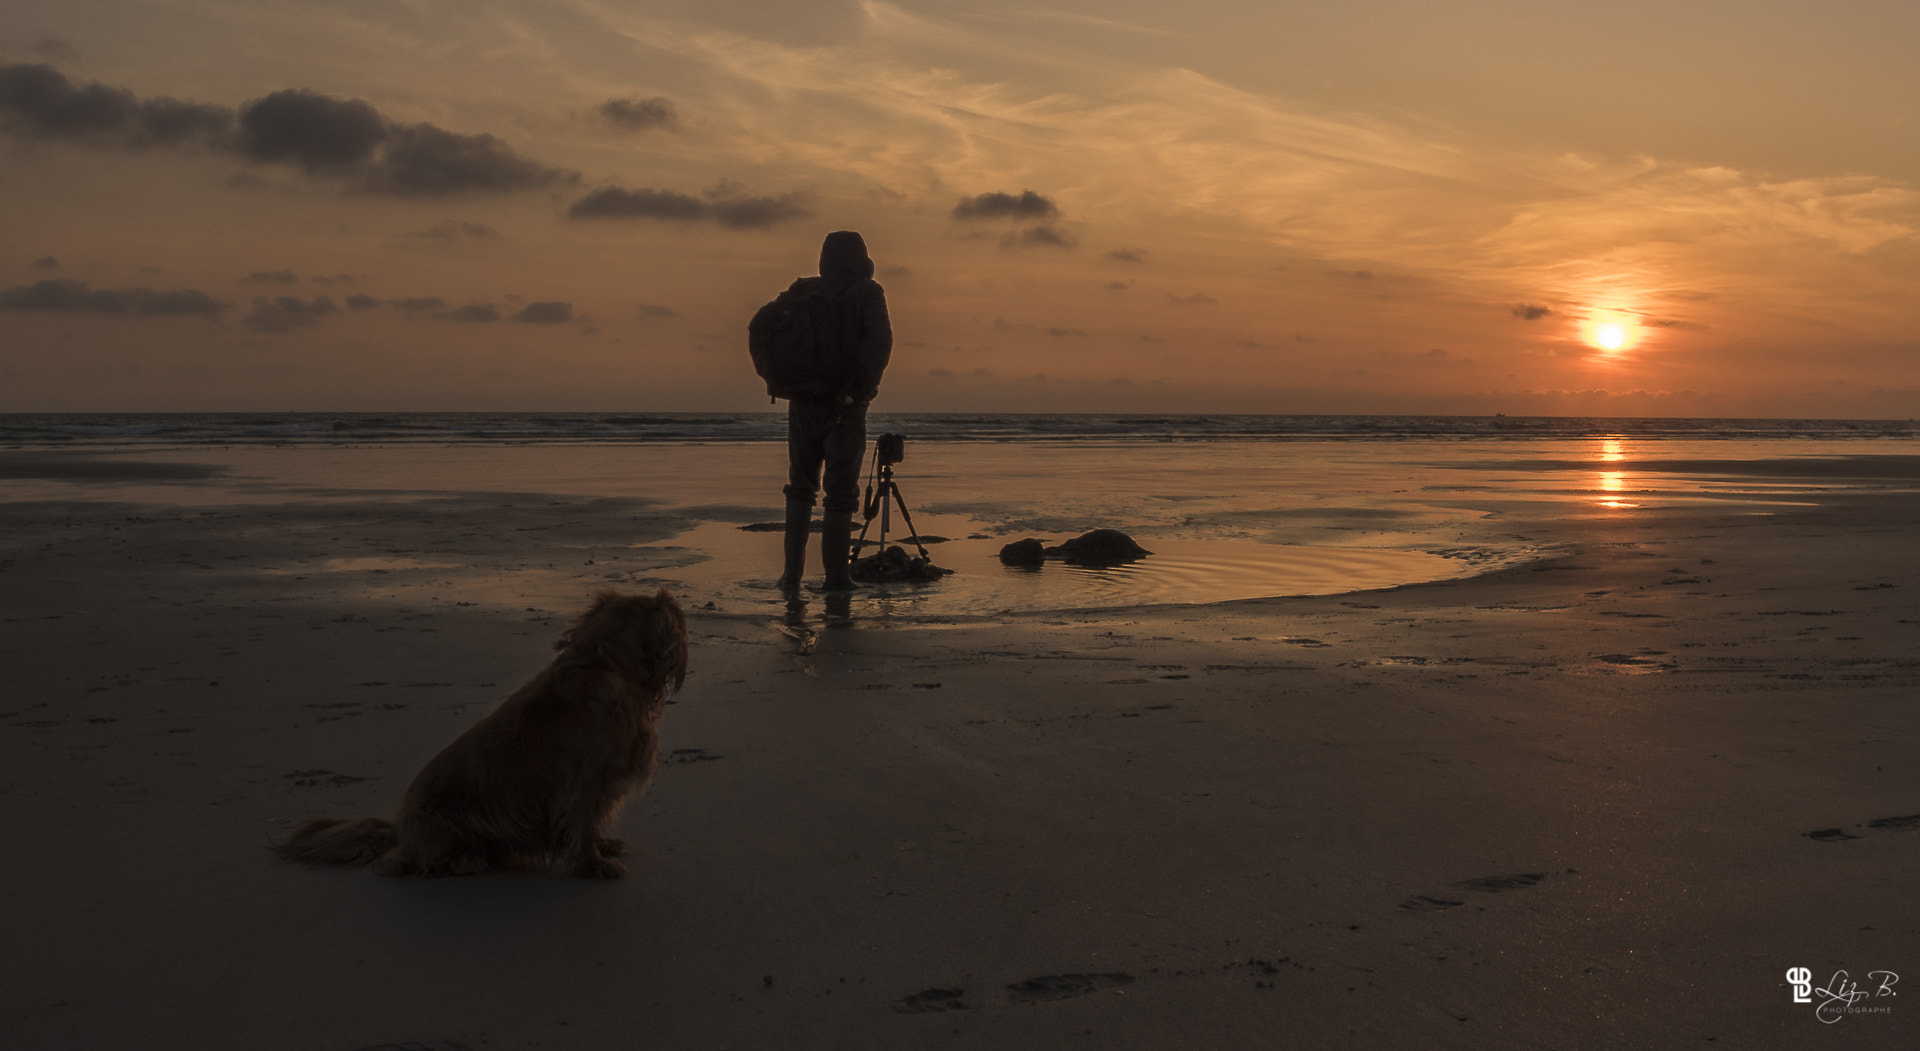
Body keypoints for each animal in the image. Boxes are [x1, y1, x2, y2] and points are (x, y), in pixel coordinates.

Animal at [270, 591, 691, 879]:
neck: (605, 667)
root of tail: (401, 831)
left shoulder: (597, 787)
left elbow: (594, 821)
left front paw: (604, 846)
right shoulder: (582, 784)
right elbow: (583, 824)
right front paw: (593, 865)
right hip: (447, 827)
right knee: (415, 863)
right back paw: (466, 861)